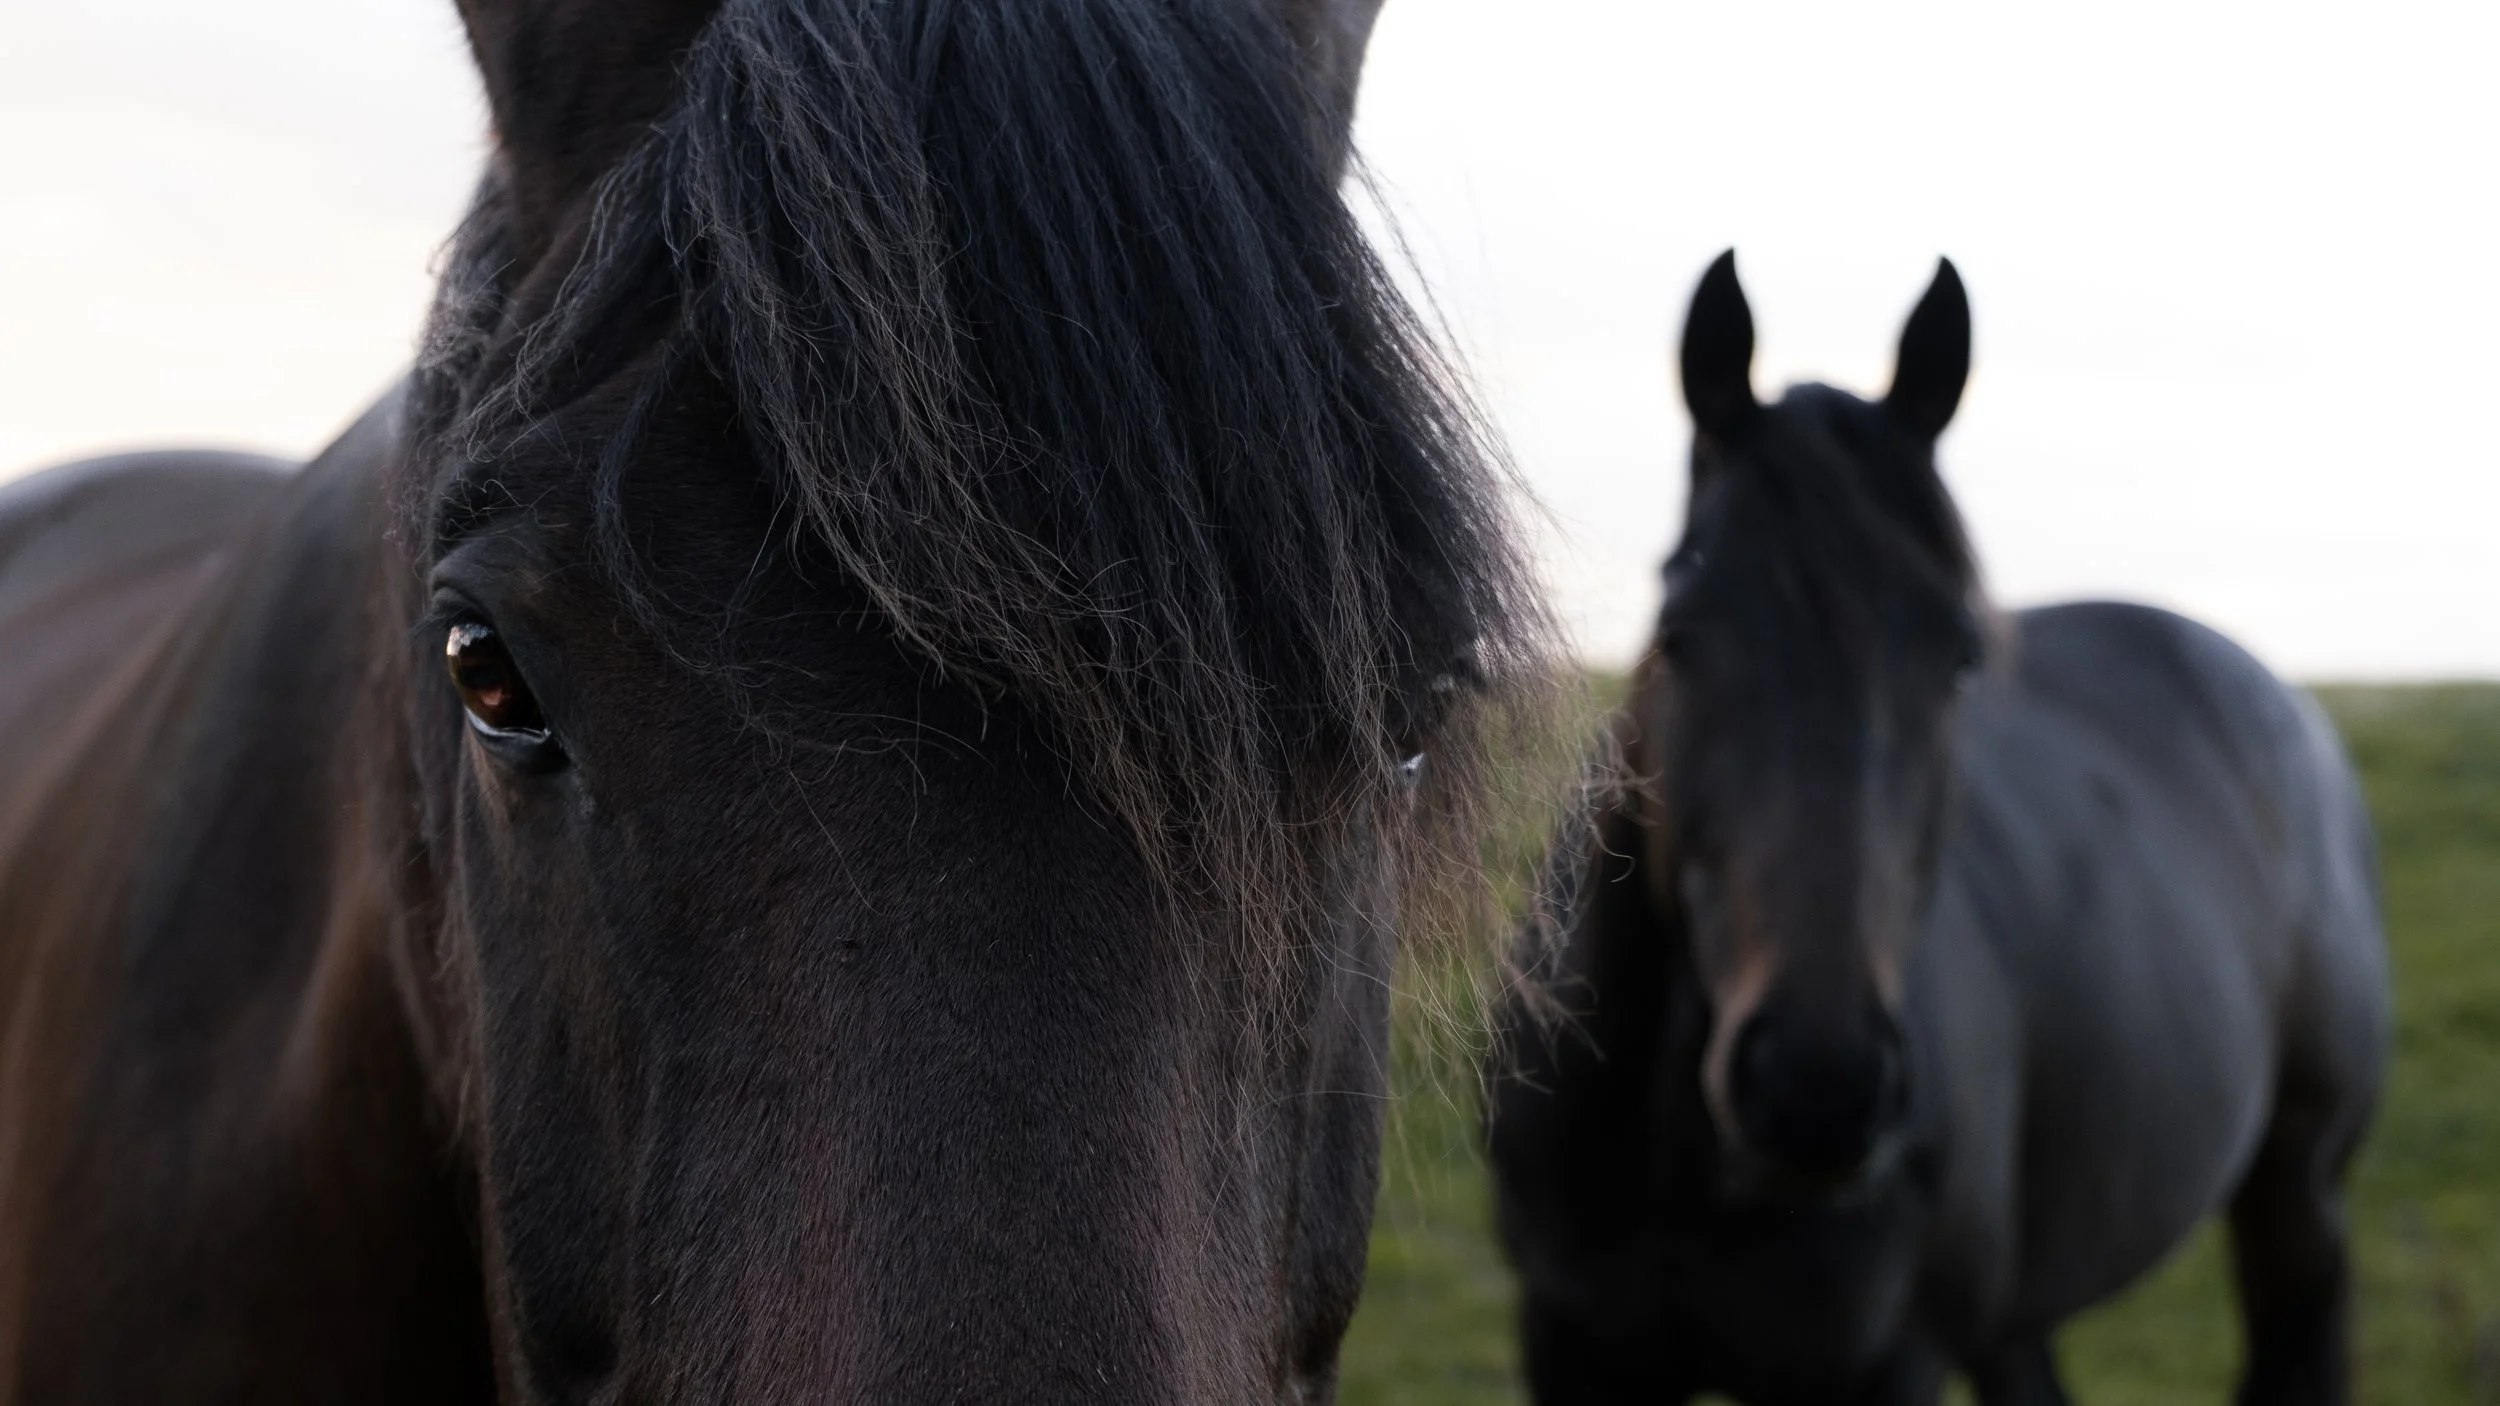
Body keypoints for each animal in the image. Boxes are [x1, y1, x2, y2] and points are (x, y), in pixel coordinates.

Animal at [1486, 252, 2389, 1405]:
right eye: (1679, 635)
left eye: (1958, 657)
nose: (1816, 1087)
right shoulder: (1569, 1344)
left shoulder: (1890, 1364)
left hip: (2299, 1199)